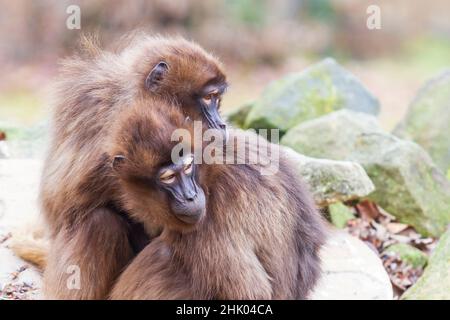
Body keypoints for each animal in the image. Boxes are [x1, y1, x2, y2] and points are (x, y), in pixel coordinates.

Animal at [39, 33, 229, 298]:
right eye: (209, 97)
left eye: (218, 100)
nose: (221, 124)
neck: (135, 98)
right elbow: (61, 201)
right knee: (99, 223)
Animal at [108, 99, 326, 298]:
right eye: (168, 177)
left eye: (187, 167)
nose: (190, 196)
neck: (211, 168)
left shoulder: (212, 217)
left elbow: (251, 291)